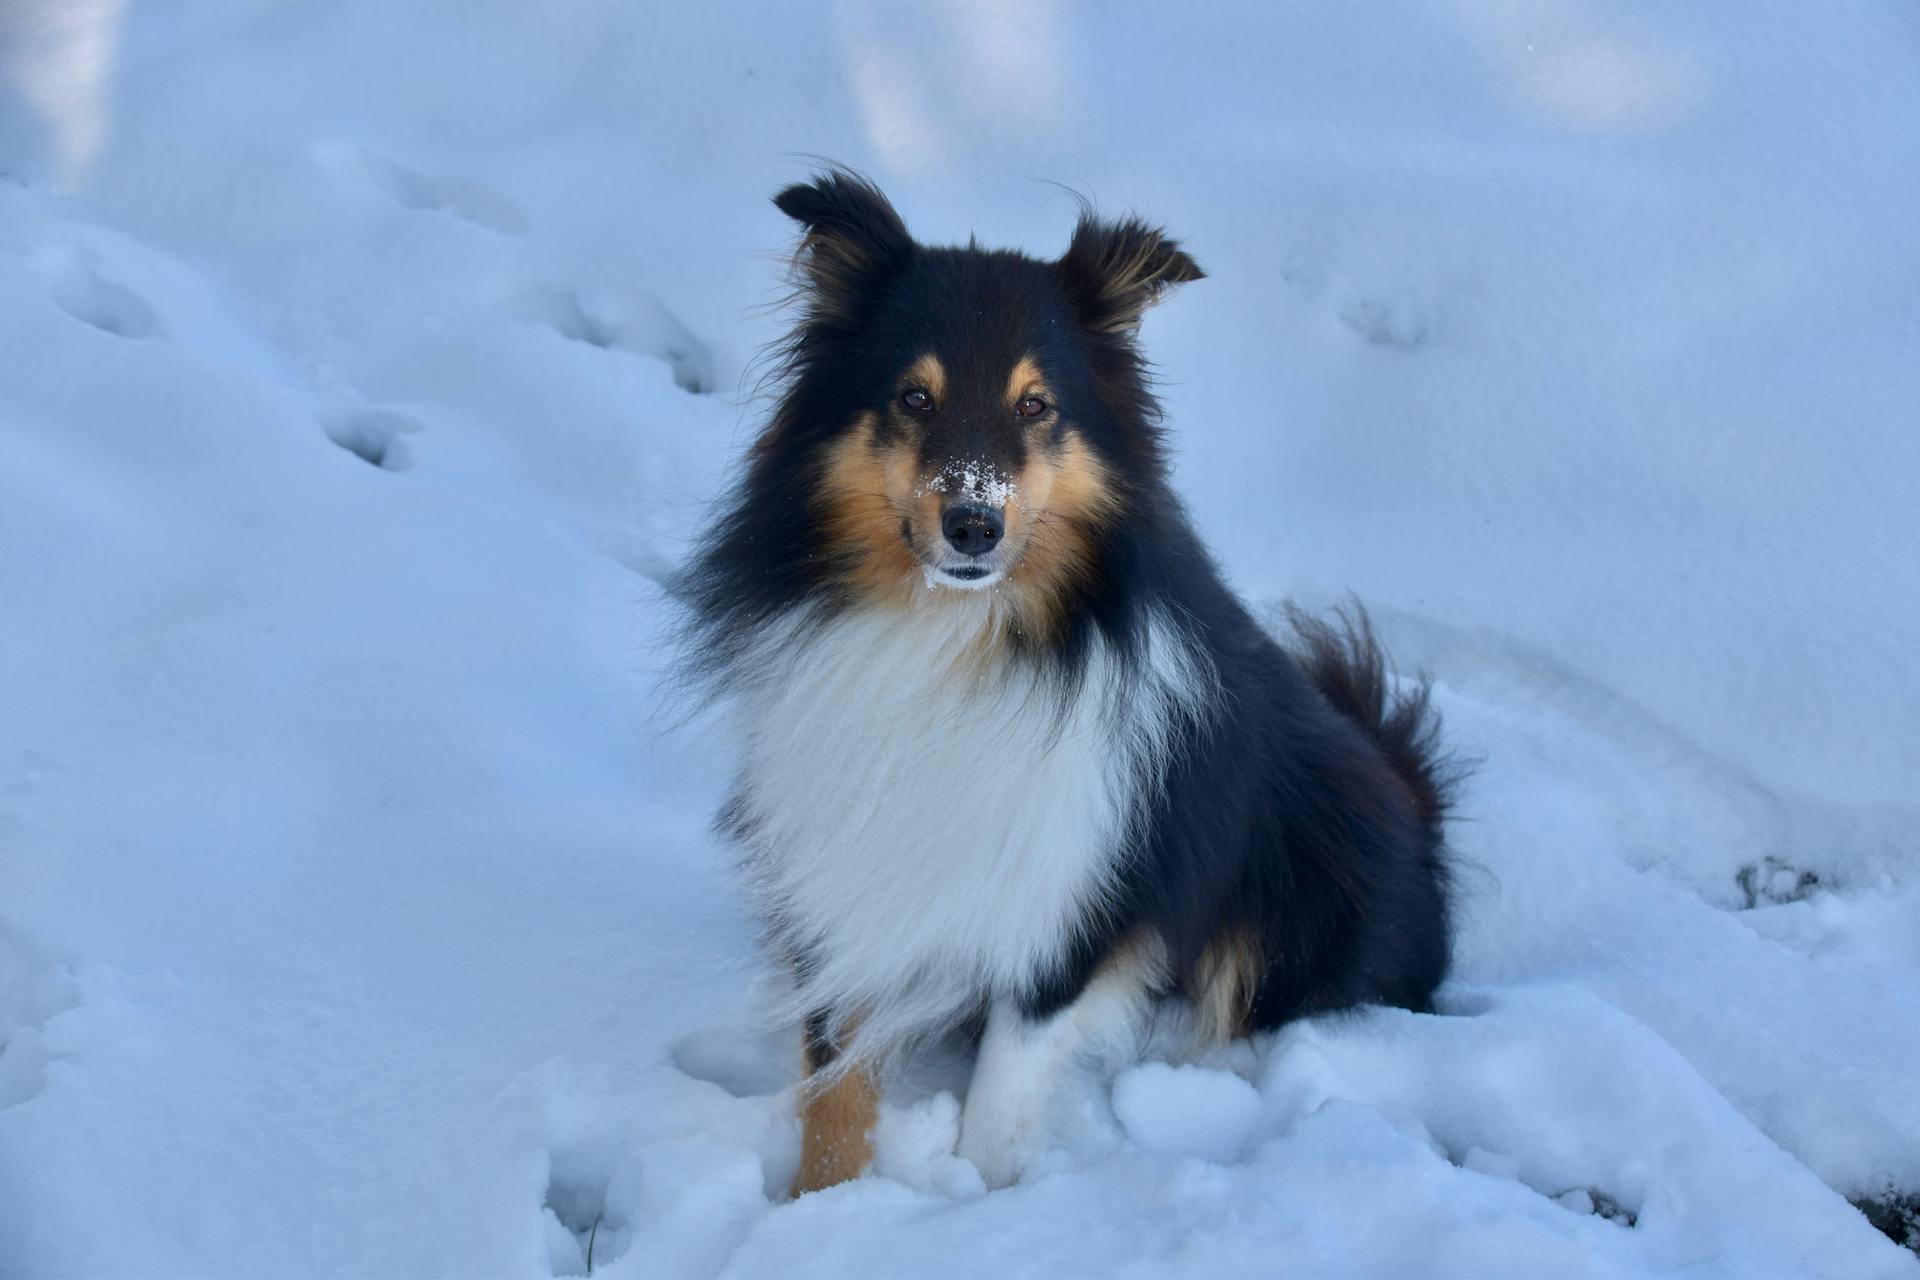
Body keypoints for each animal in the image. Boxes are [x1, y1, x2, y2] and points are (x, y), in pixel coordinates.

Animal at [683, 167, 1443, 1189]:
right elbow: (834, 1081)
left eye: (1036, 405)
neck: (952, 639)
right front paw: (820, 1208)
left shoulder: (1073, 895)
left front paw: (983, 1201)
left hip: (1316, 860)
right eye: (914, 398)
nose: (974, 525)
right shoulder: (840, 868)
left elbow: (1001, 1099)